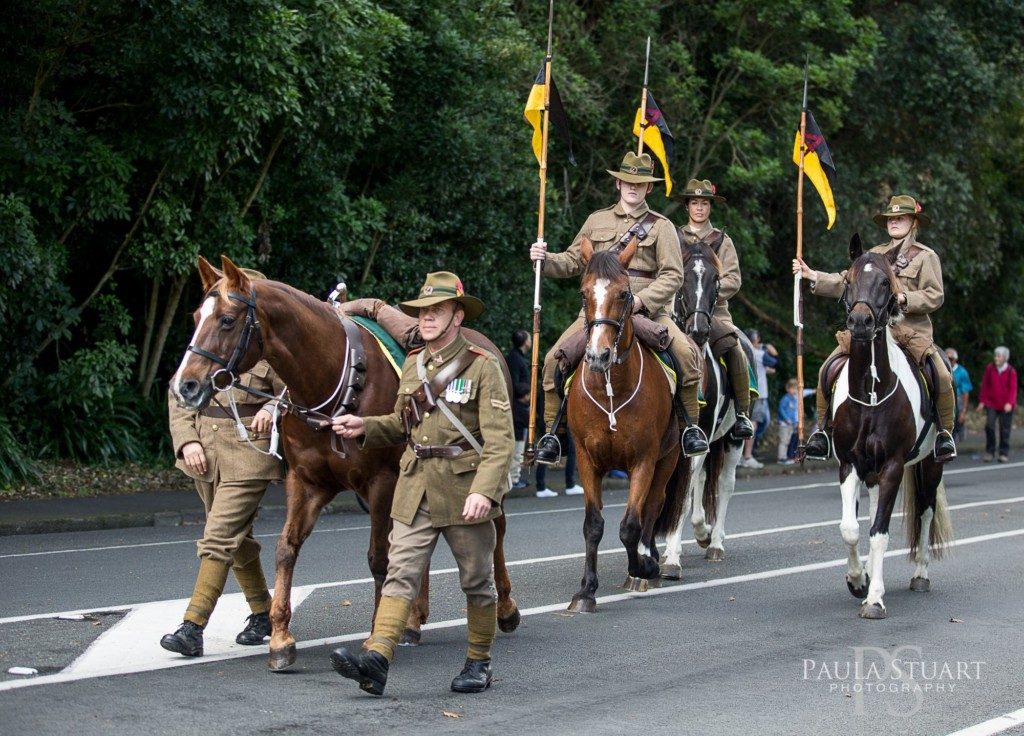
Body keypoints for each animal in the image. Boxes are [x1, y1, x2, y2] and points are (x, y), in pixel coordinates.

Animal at [172, 255, 520, 671]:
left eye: (226, 319)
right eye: (196, 316)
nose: (185, 385)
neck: (330, 379)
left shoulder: (381, 482)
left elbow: (379, 558)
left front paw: (374, 634)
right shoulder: (306, 483)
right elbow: (286, 548)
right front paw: (281, 637)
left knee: (496, 530)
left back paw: (505, 608)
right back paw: (414, 619)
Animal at [565, 238, 692, 614]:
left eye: (623, 294)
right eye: (583, 293)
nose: (598, 355)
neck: (611, 389)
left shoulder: (644, 461)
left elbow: (630, 526)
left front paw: (643, 566)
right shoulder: (586, 460)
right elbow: (593, 526)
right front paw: (586, 591)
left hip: (668, 459)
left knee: (653, 506)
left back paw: (649, 562)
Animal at [827, 238, 946, 618]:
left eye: (884, 282)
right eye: (847, 280)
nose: (860, 321)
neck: (871, 390)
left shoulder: (894, 465)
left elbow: (879, 532)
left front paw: (874, 598)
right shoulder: (849, 464)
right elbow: (851, 528)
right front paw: (857, 580)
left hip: (931, 464)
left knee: (925, 510)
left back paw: (921, 574)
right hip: (873, 472)